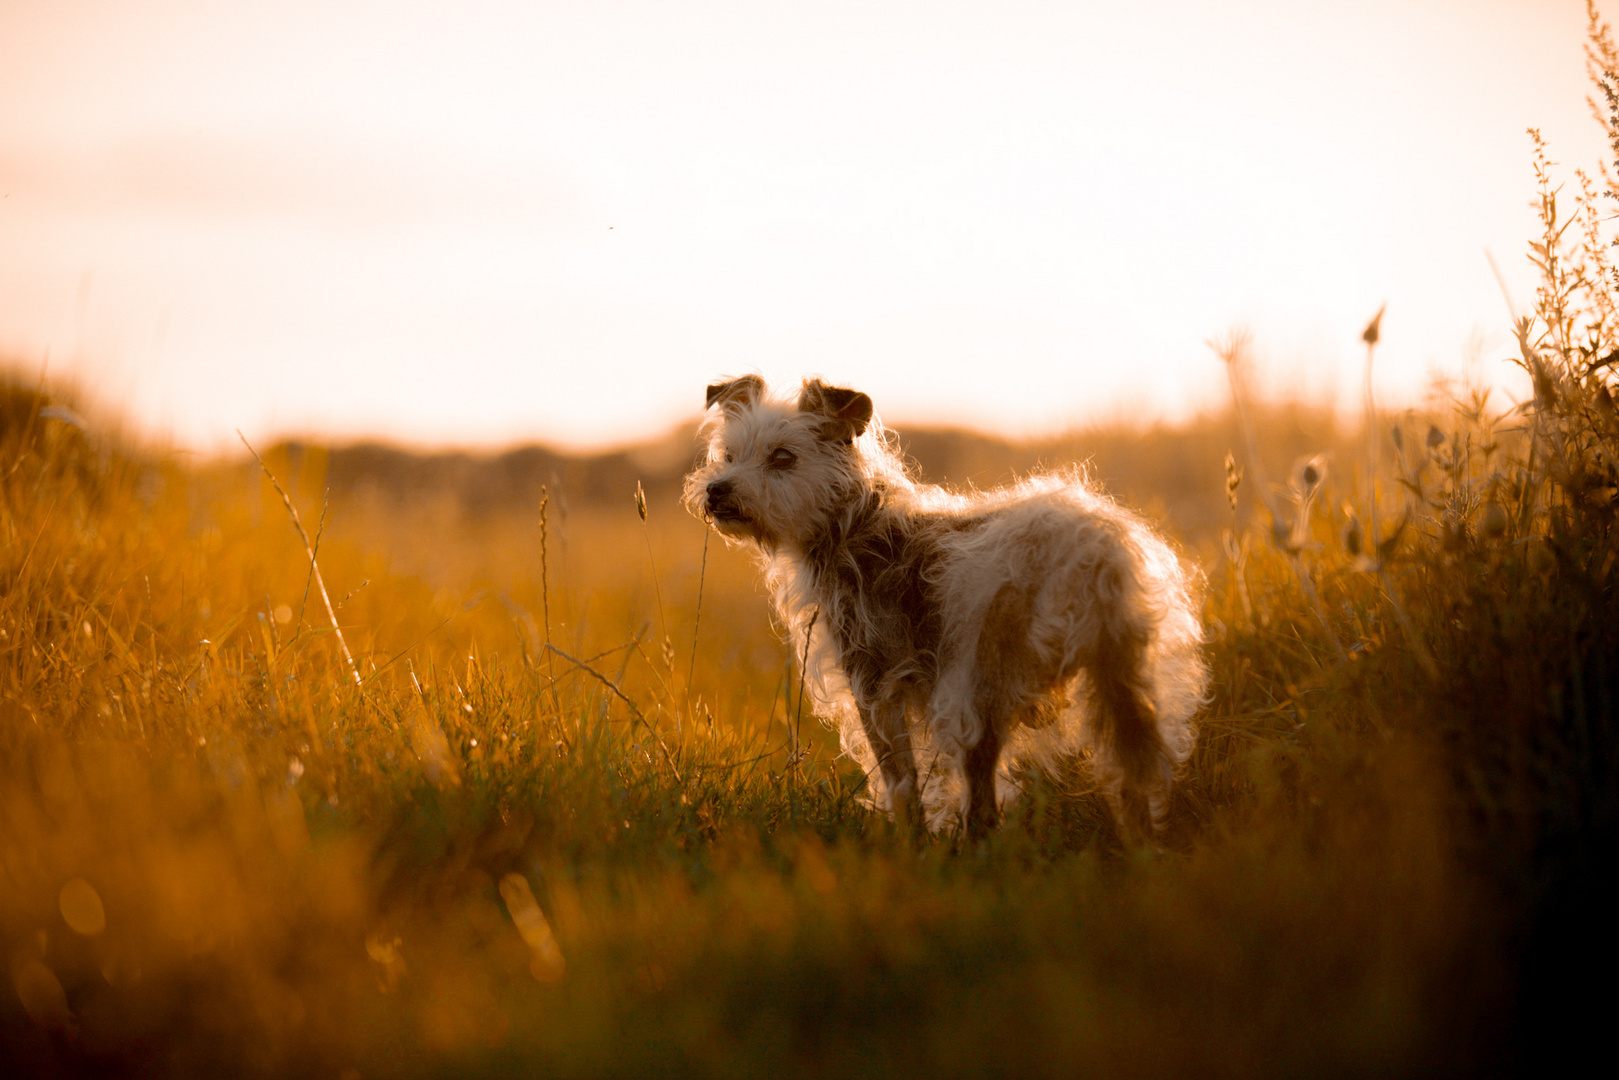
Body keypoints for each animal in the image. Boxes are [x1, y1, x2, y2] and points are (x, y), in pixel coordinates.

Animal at [679, 375, 1204, 841]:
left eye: (783, 458)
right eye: (728, 457)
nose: (718, 489)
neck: (854, 525)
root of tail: (1090, 551)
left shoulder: (873, 684)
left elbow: (901, 780)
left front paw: (911, 846)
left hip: (977, 684)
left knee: (983, 801)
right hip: (1121, 678)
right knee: (1133, 775)